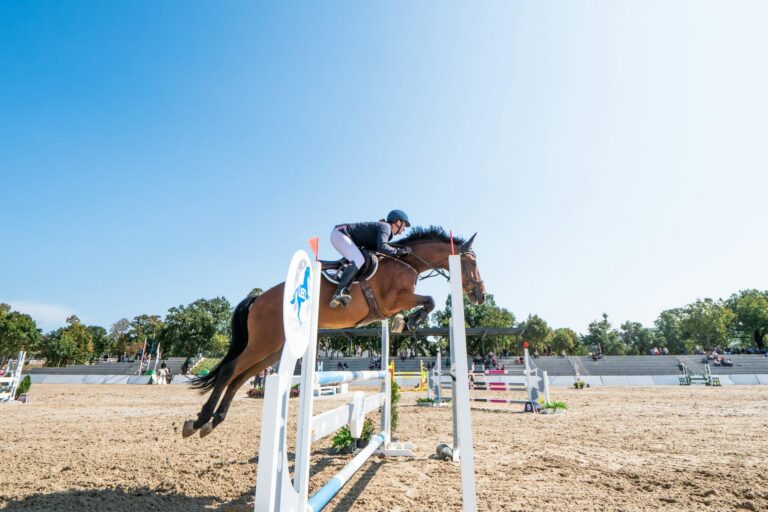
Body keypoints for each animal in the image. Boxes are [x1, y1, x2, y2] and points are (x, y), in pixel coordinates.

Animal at [182, 226, 485, 438]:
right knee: (228, 370)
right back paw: (198, 421)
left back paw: (214, 421)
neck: (406, 262)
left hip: (272, 348)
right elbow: (429, 300)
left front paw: (405, 322)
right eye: (472, 262)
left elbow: (425, 303)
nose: (480, 295)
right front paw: (410, 322)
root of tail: (258, 298)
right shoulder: (393, 300)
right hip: (262, 342)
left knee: (239, 378)